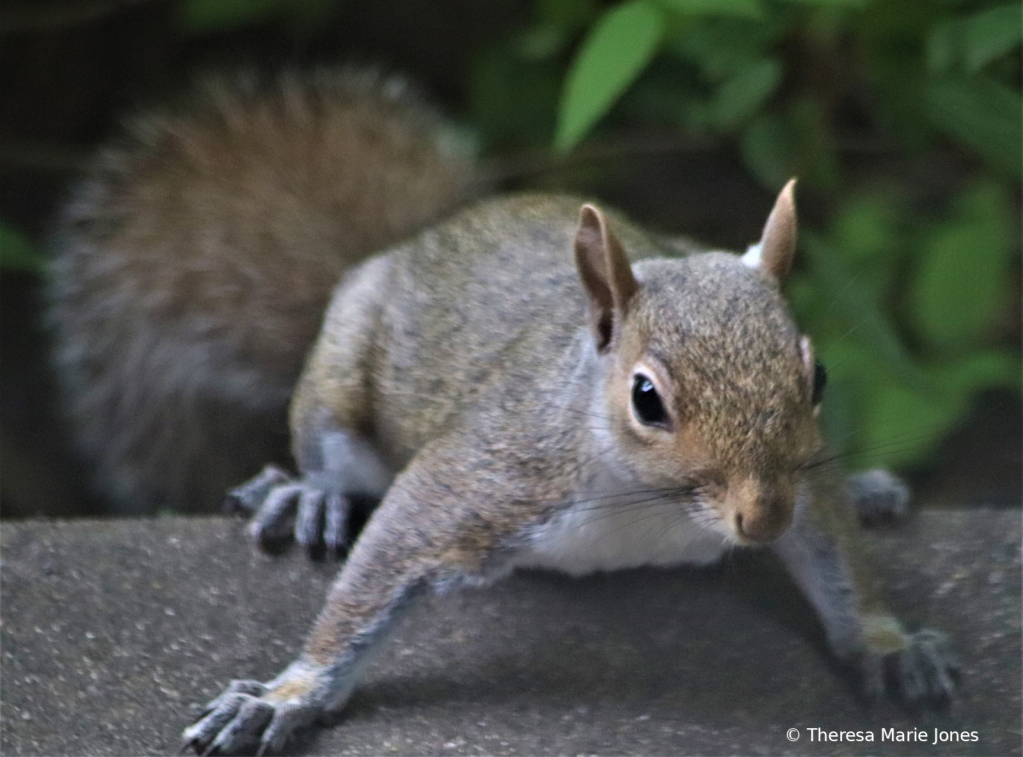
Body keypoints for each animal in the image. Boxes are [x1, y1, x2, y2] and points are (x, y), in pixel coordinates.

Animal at [46, 66, 941, 757]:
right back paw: (310, 494)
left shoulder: (805, 484)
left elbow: (838, 558)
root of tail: (425, 236)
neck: (651, 505)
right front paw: (285, 693)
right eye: (646, 397)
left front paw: (889, 644)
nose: (760, 518)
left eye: (816, 376)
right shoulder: (488, 475)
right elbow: (378, 566)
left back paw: (870, 490)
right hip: (341, 366)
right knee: (328, 443)